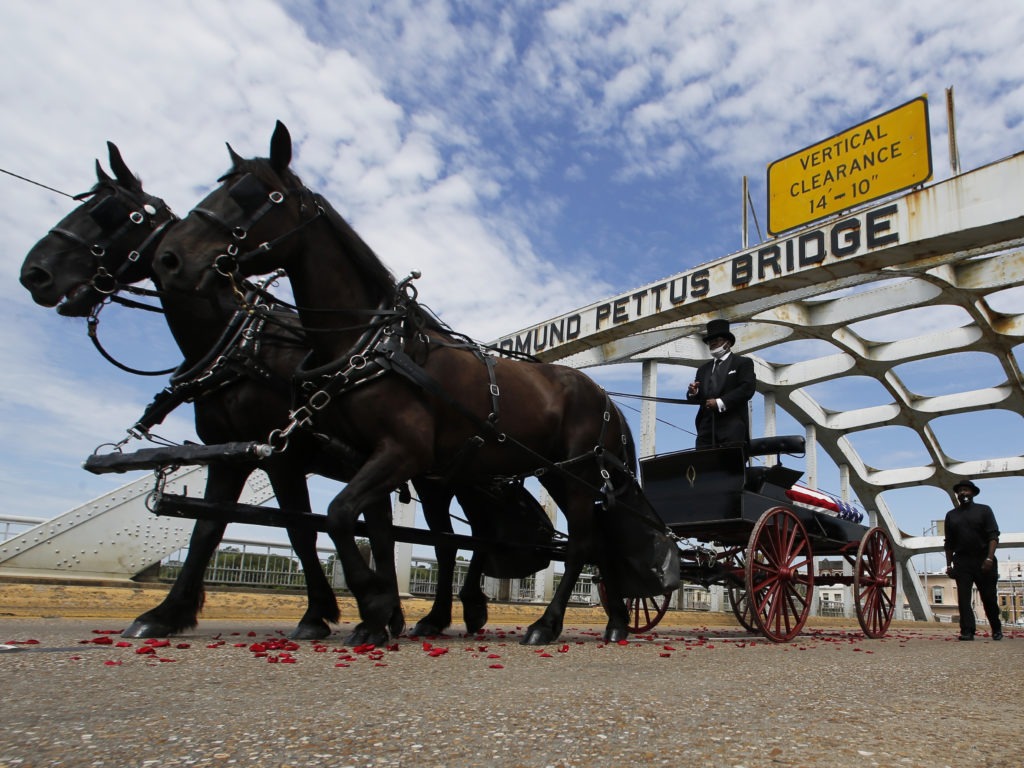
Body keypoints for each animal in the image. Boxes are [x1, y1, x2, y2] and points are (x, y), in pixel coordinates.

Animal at [155, 123, 643, 647]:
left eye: (255, 195)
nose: (170, 257)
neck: (372, 343)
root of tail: (607, 399)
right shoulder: (360, 458)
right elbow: (363, 529)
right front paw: (380, 611)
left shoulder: (398, 452)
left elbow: (339, 515)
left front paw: (374, 604)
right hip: (556, 472)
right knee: (591, 542)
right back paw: (613, 620)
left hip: (576, 473)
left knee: (580, 544)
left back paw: (548, 623)